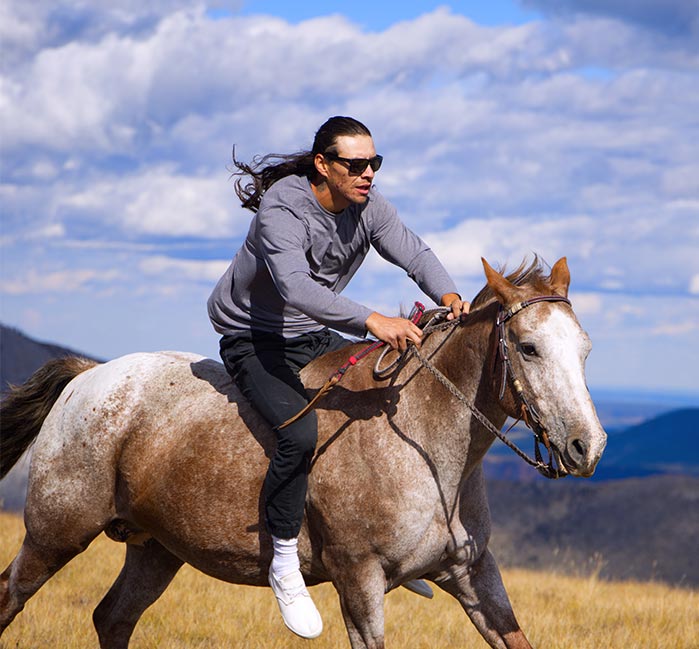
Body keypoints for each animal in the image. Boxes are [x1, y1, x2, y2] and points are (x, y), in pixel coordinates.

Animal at [0, 258, 608, 648]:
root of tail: (89, 376)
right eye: (527, 348)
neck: (427, 449)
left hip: (155, 551)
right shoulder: (359, 583)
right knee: (12, 595)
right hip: (56, 534)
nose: (588, 446)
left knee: (113, 618)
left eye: (585, 350)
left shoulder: (474, 576)